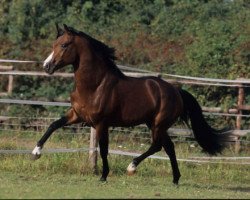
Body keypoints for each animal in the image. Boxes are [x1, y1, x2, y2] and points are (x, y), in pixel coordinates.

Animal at [31, 23, 229, 184]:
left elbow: (103, 149)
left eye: (64, 45)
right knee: (169, 147)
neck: (95, 85)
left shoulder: (101, 123)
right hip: (154, 124)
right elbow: (53, 125)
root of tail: (175, 90)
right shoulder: (77, 115)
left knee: (158, 145)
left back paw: (132, 166)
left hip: (158, 124)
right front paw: (36, 152)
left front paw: (103, 176)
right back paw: (175, 179)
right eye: (54, 45)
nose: (47, 67)